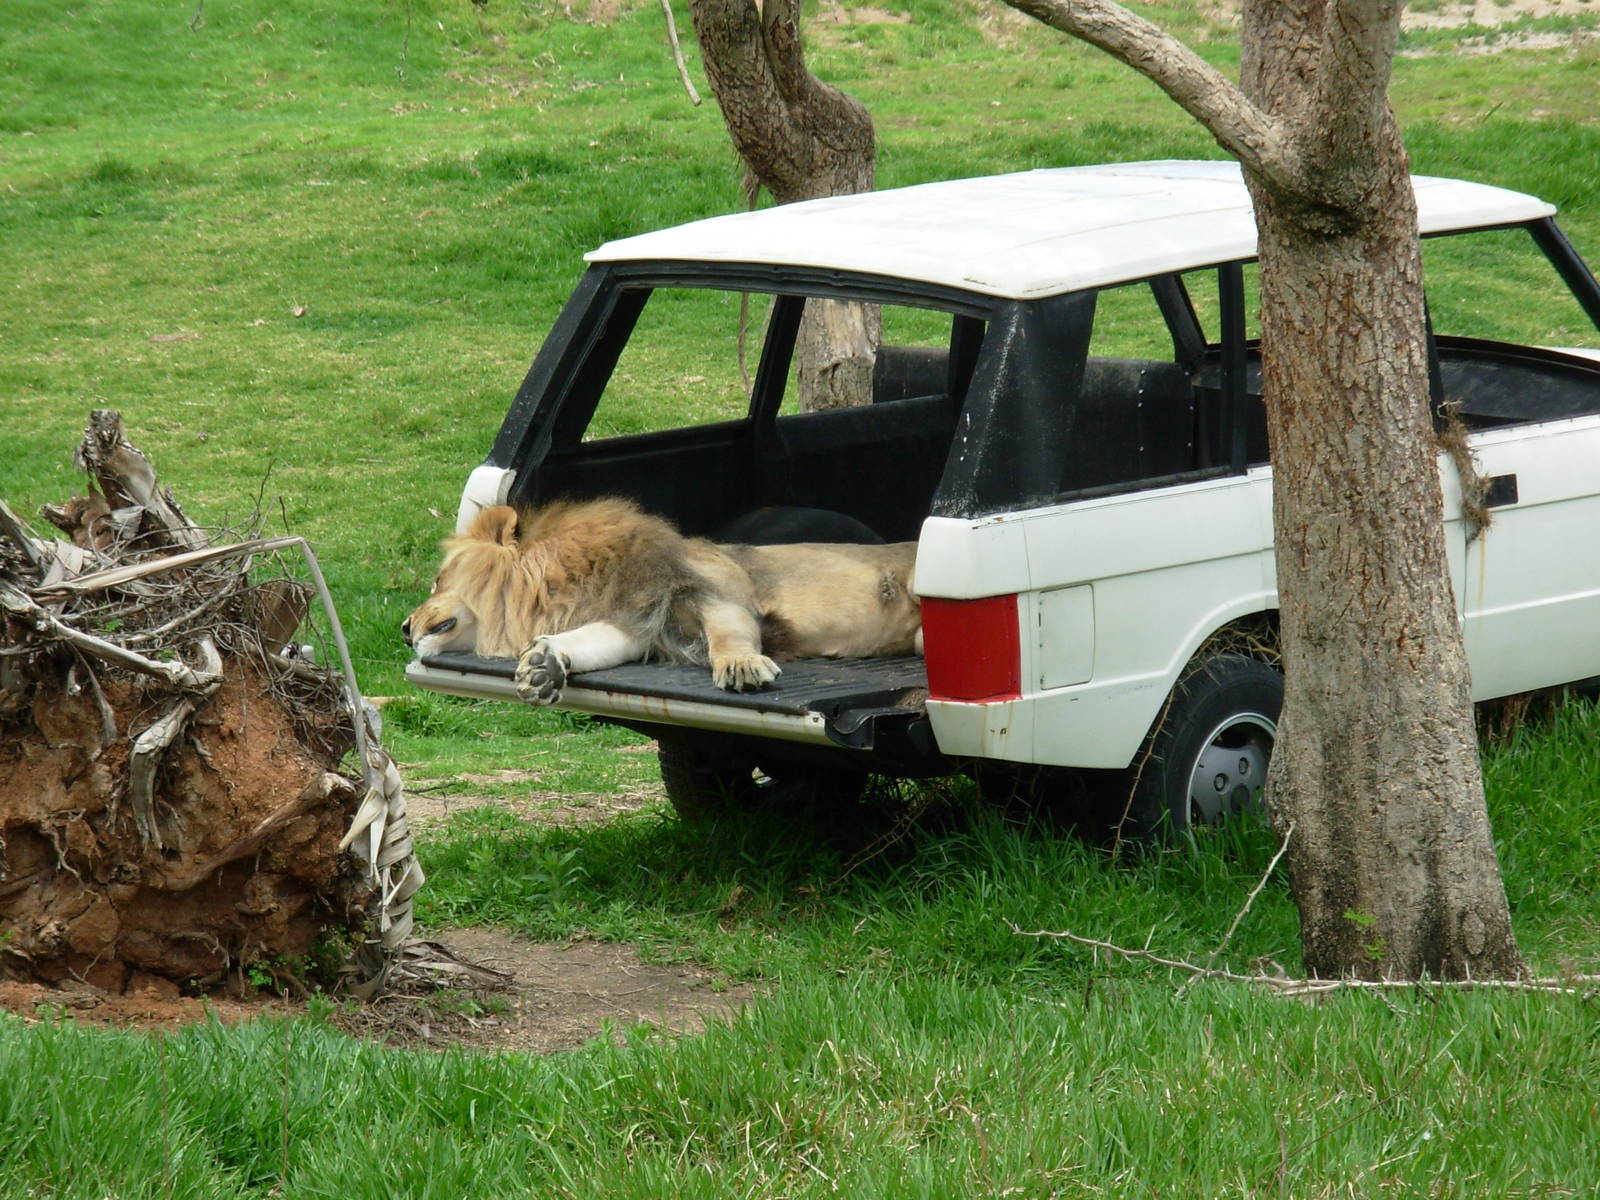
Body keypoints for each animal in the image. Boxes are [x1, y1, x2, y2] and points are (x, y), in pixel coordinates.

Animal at [401, 497, 921, 706]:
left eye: (437, 580)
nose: (404, 629)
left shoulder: (713, 592)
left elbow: (729, 634)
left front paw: (741, 666)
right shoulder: (634, 623)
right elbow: (586, 642)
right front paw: (544, 667)